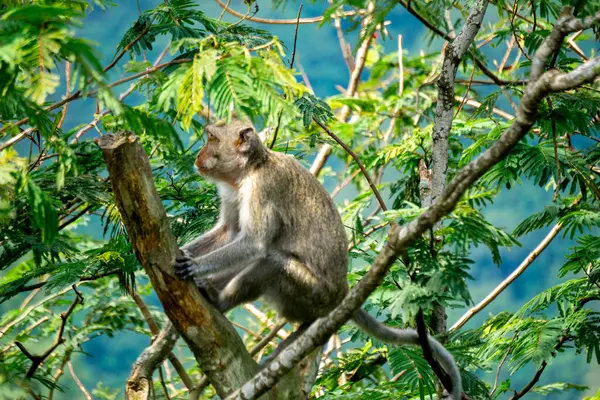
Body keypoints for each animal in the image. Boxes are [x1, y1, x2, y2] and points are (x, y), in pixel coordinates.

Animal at [176, 117, 462, 398]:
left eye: (212, 138)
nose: (199, 155)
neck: (251, 169)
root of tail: (342, 292)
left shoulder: (262, 189)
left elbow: (254, 244)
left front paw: (194, 265)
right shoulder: (234, 192)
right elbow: (229, 232)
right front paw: (181, 253)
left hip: (312, 293)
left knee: (273, 263)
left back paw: (219, 299)